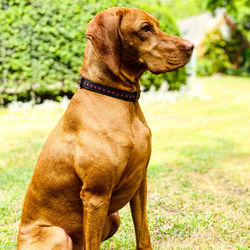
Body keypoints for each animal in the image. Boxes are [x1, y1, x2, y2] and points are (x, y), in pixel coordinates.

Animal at [17, 6, 193, 249]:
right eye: (145, 28)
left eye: (157, 25)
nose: (191, 46)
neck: (122, 101)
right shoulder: (95, 196)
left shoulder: (140, 183)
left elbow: (143, 234)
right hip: (60, 234)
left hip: (113, 217)